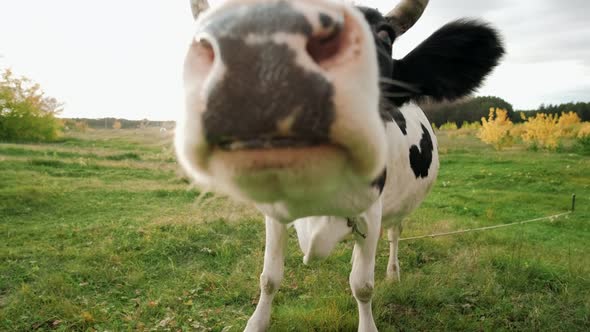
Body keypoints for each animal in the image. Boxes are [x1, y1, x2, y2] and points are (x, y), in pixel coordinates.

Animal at [175, 0, 504, 330]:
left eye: (384, 36)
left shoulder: (372, 210)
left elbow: (363, 285)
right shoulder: (273, 211)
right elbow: (270, 277)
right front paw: (256, 322)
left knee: (394, 234)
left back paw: (392, 273)